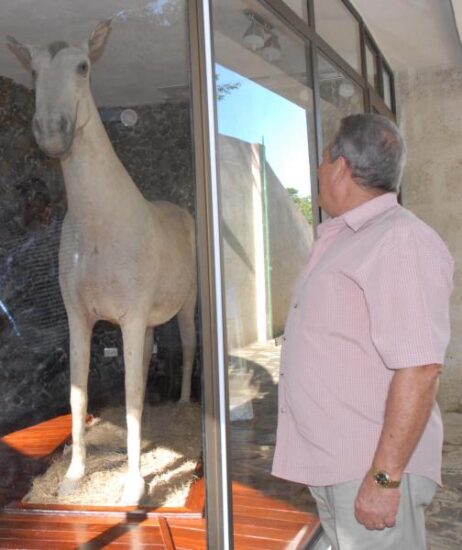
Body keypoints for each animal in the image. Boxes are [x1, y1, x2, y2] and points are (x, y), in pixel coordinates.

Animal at [7, 20, 197, 504]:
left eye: (83, 66)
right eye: (33, 70)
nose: (52, 131)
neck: (98, 228)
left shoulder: (130, 318)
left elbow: (130, 395)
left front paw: (134, 485)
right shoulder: (81, 318)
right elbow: (81, 395)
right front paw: (75, 476)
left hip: (187, 306)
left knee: (187, 347)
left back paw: (184, 404)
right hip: (147, 322)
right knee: (147, 361)